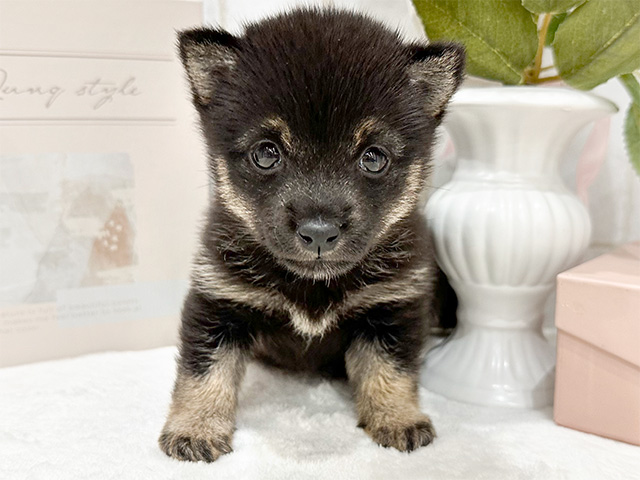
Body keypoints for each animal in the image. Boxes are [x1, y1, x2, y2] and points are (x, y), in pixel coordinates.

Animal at [158, 7, 462, 464]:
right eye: (267, 153)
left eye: (373, 158)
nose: (319, 232)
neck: (313, 285)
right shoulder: (219, 301)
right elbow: (204, 371)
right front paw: (195, 427)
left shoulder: (392, 308)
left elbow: (390, 371)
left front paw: (398, 418)